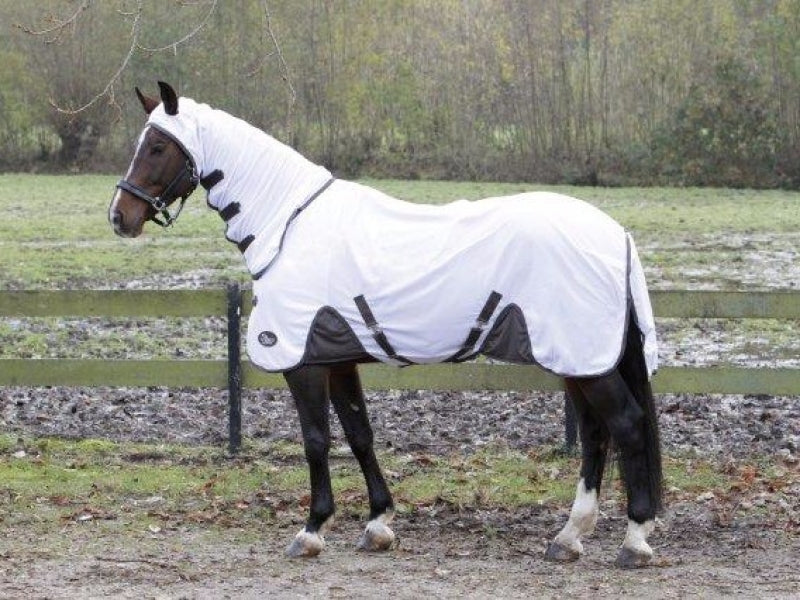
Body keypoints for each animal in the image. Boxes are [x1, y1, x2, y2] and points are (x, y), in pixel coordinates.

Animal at [109, 81, 663, 568]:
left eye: (157, 146)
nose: (120, 216)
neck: (289, 226)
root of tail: (617, 235)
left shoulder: (302, 363)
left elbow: (316, 439)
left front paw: (312, 530)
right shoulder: (337, 359)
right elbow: (360, 434)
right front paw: (378, 524)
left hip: (585, 361)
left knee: (626, 424)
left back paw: (634, 541)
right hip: (578, 361)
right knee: (594, 434)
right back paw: (568, 537)